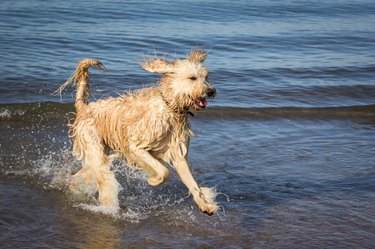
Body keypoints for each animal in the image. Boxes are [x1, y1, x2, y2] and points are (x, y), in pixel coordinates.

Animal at [56, 49, 220, 215]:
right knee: (103, 177)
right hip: (94, 147)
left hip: (100, 152)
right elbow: (164, 171)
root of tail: (84, 107)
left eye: (206, 77)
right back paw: (108, 205)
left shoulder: (178, 154)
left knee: (86, 173)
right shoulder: (136, 147)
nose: (210, 91)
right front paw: (153, 180)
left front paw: (205, 205)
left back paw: (73, 185)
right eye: (192, 77)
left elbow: (192, 183)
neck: (170, 107)